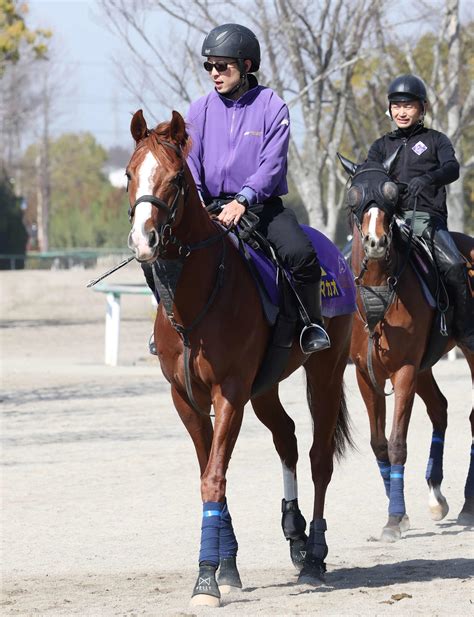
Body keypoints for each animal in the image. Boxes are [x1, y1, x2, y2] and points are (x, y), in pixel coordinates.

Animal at [126, 108, 356, 604]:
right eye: (131, 173)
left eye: (176, 178)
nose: (143, 240)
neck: (196, 300)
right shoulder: (186, 398)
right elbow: (208, 471)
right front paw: (226, 565)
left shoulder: (228, 392)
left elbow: (214, 476)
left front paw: (206, 577)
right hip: (264, 387)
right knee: (287, 437)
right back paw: (295, 534)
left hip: (325, 373)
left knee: (319, 457)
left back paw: (314, 556)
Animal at [338, 153, 474, 540]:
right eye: (353, 197)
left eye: (392, 194)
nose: (375, 242)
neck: (379, 287)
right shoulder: (367, 375)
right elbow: (379, 444)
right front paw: (398, 514)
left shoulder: (404, 371)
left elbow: (397, 442)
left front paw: (395, 517)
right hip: (425, 366)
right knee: (440, 409)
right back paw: (437, 496)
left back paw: (467, 505)